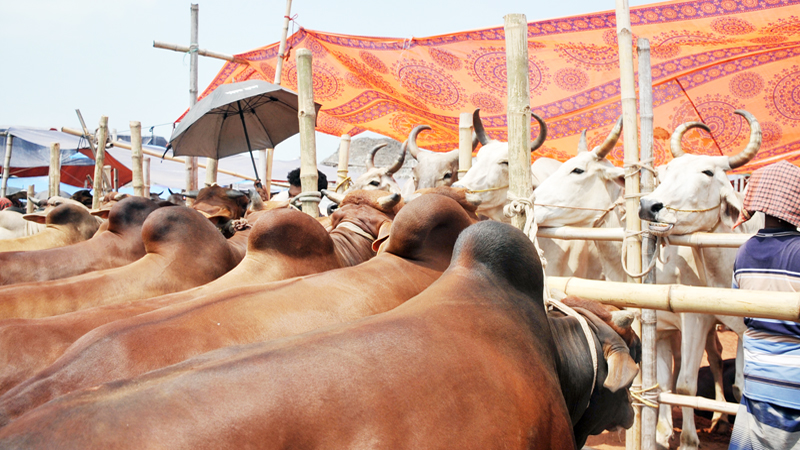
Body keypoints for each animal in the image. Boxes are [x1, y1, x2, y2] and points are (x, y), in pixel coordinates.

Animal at [636, 110, 764, 450]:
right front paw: (664, 434)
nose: (648, 206)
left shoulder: (701, 321)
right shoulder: (668, 327)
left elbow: (695, 386)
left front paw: (688, 440)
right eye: (666, 172)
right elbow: (669, 382)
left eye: (707, 172)